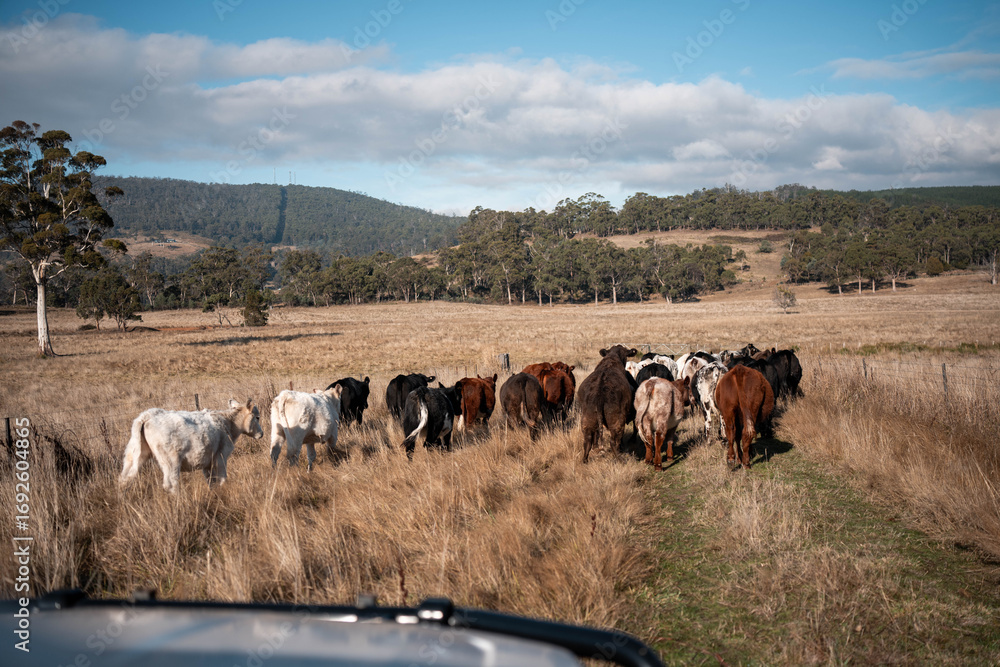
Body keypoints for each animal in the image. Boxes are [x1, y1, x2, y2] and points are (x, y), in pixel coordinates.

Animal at [120, 399, 263, 494]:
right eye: (257, 417)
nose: (261, 434)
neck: (228, 423)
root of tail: (148, 415)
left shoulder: (208, 461)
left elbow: (211, 480)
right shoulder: (221, 457)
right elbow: (222, 478)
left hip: (134, 455)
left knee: (125, 478)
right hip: (171, 461)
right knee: (171, 483)